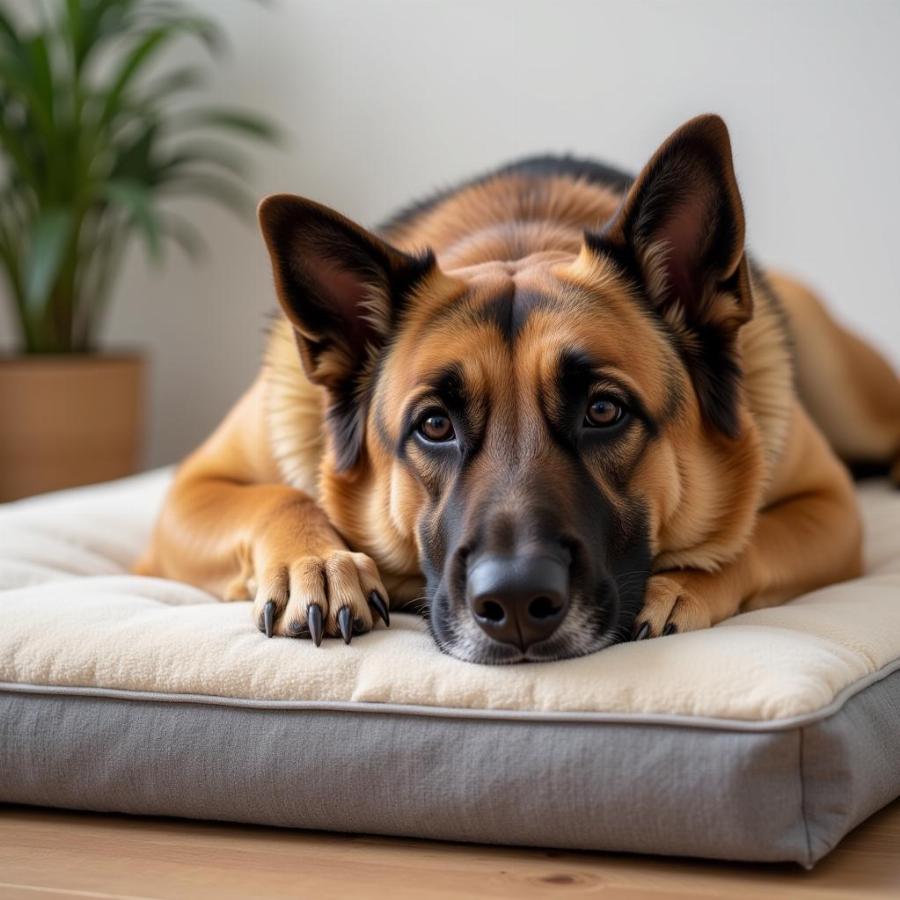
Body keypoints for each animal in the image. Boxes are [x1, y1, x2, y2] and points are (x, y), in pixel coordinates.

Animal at [135, 116, 900, 664]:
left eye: (603, 410)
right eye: (434, 425)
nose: (517, 605)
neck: (518, 235)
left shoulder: (831, 507)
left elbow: (749, 541)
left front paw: (683, 584)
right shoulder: (189, 493)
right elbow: (276, 497)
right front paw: (314, 564)